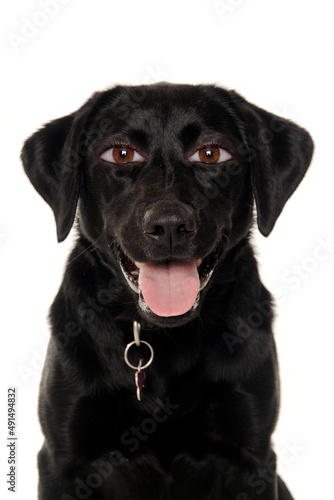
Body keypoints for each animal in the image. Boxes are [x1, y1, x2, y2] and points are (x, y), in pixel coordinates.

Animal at [22, 84, 314, 498]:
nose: (170, 225)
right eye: (121, 153)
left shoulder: (252, 459)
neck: (165, 340)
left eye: (211, 153)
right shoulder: (62, 460)